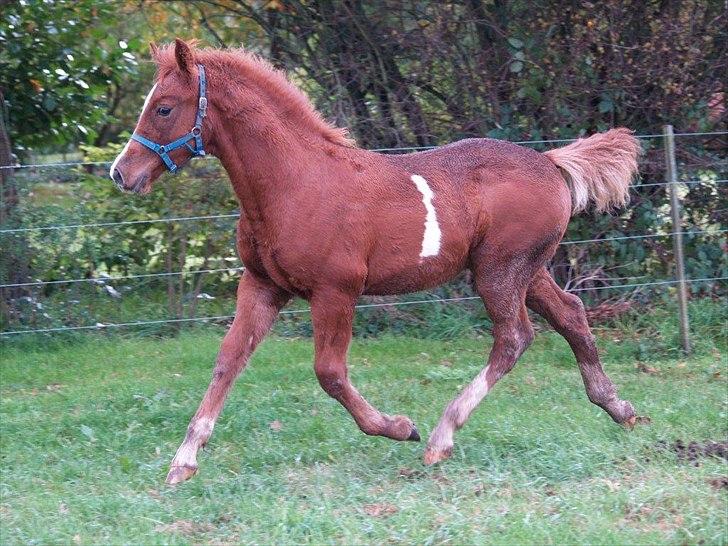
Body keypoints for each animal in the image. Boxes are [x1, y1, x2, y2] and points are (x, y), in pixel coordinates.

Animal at [111, 41, 640, 484]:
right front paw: (183, 462)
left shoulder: (336, 291)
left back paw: (440, 436)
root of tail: (551, 162)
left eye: (163, 107)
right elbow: (228, 361)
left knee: (514, 338)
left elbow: (329, 373)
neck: (295, 183)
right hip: (527, 270)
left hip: (500, 271)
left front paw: (400, 427)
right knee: (571, 313)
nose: (121, 173)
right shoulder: (262, 285)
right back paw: (619, 407)